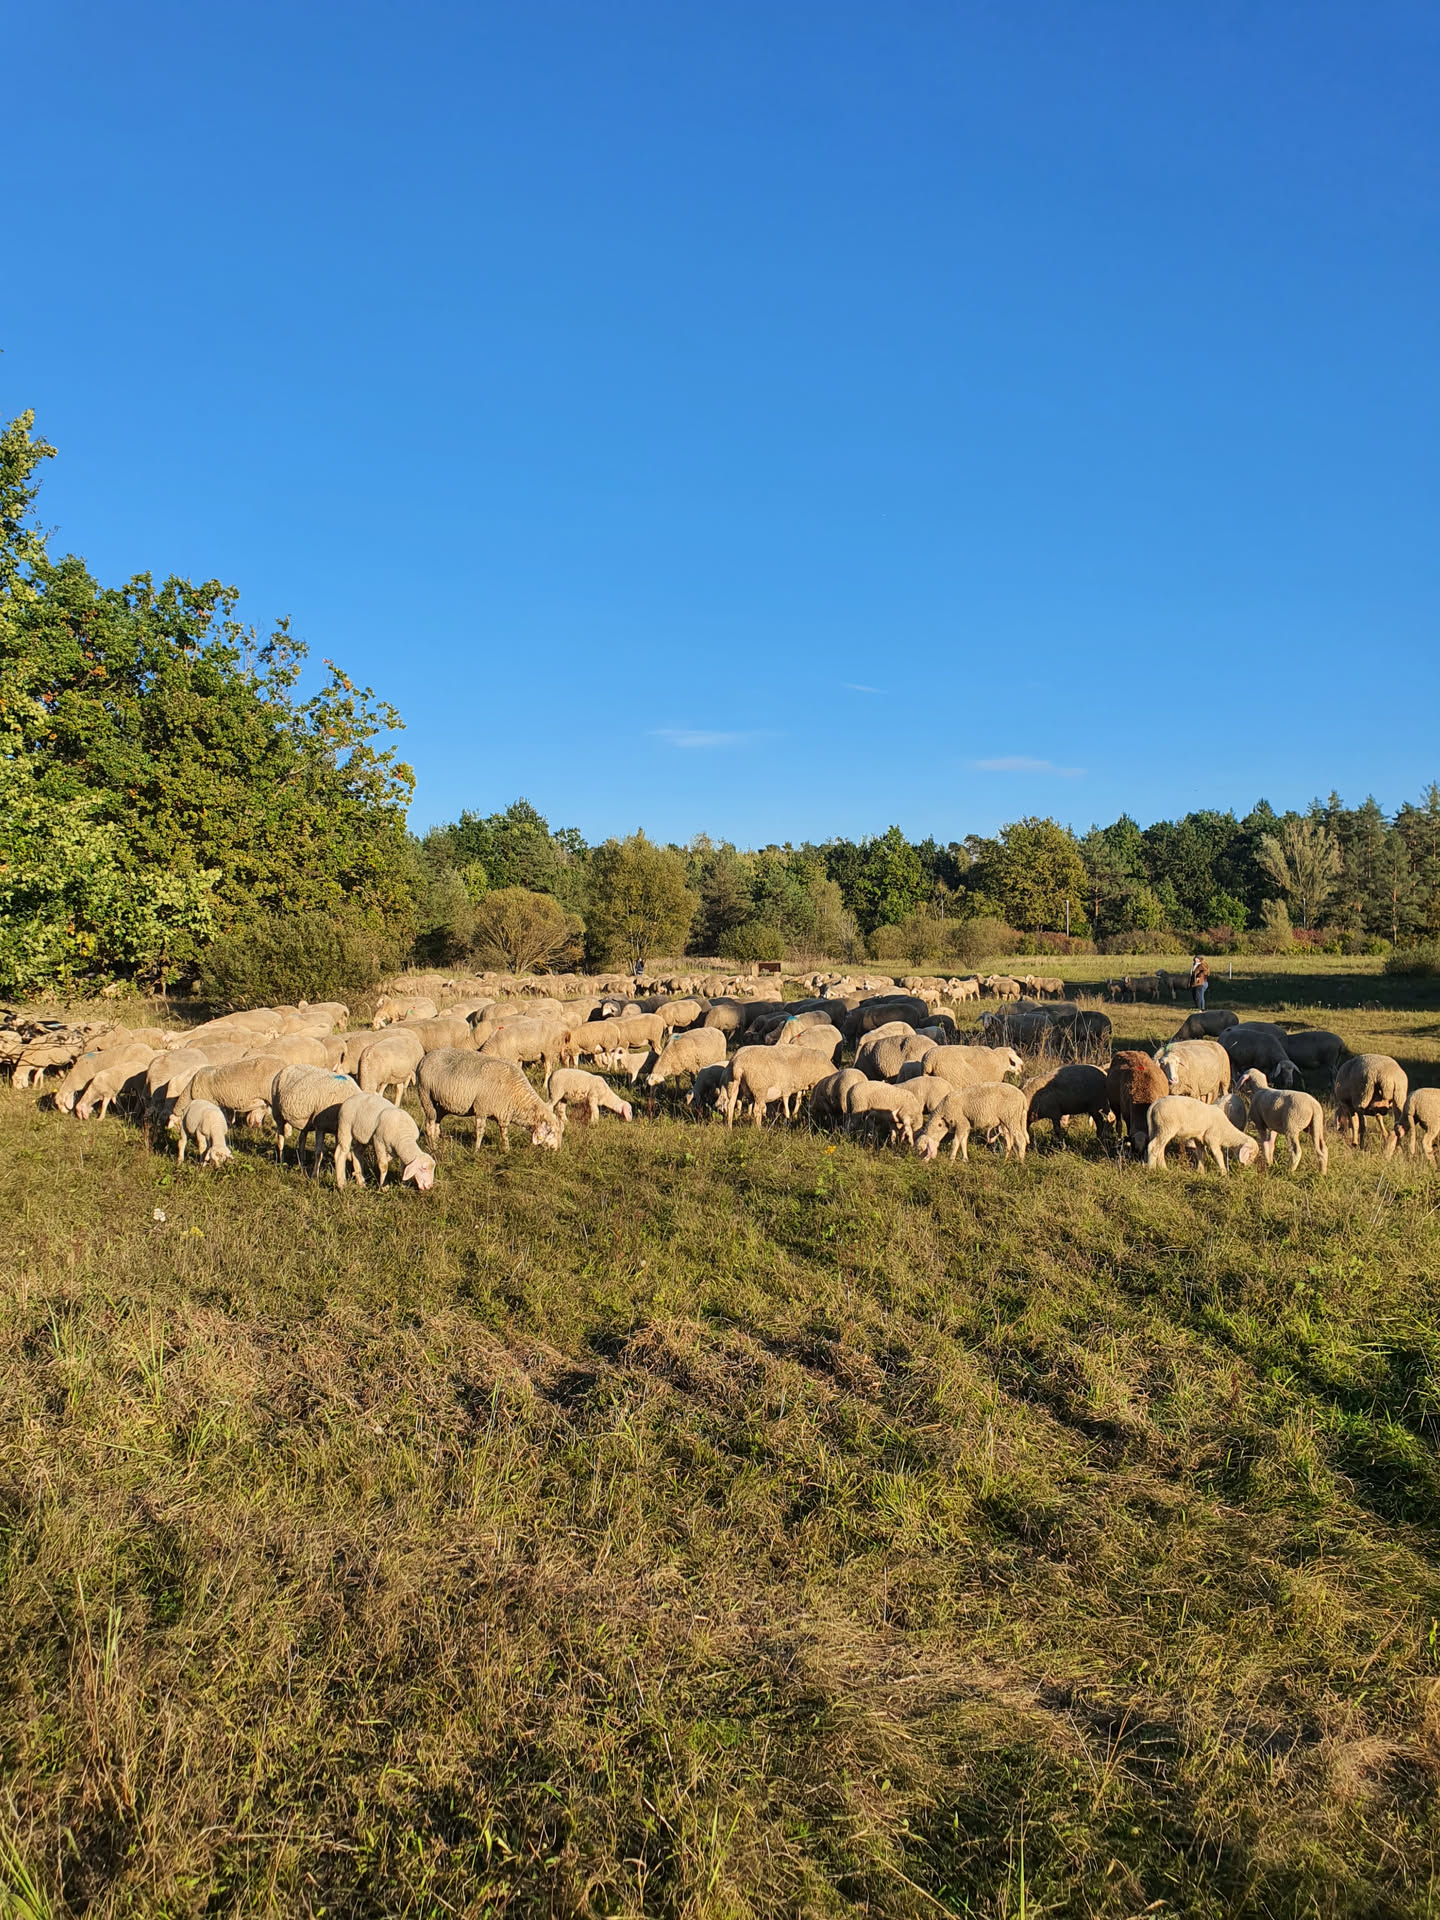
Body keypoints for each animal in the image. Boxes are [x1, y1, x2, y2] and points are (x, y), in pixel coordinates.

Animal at [415, 1049, 565, 1152]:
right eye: (553, 1132)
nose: (557, 1150)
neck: (517, 1095)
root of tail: (424, 1058)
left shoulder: (504, 1113)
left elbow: (504, 1133)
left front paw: (506, 1150)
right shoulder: (481, 1108)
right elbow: (480, 1131)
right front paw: (476, 1150)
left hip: (441, 1105)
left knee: (436, 1122)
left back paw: (437, 1142)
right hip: (425, 1094)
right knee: (429, 1123)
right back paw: (433, 1147)